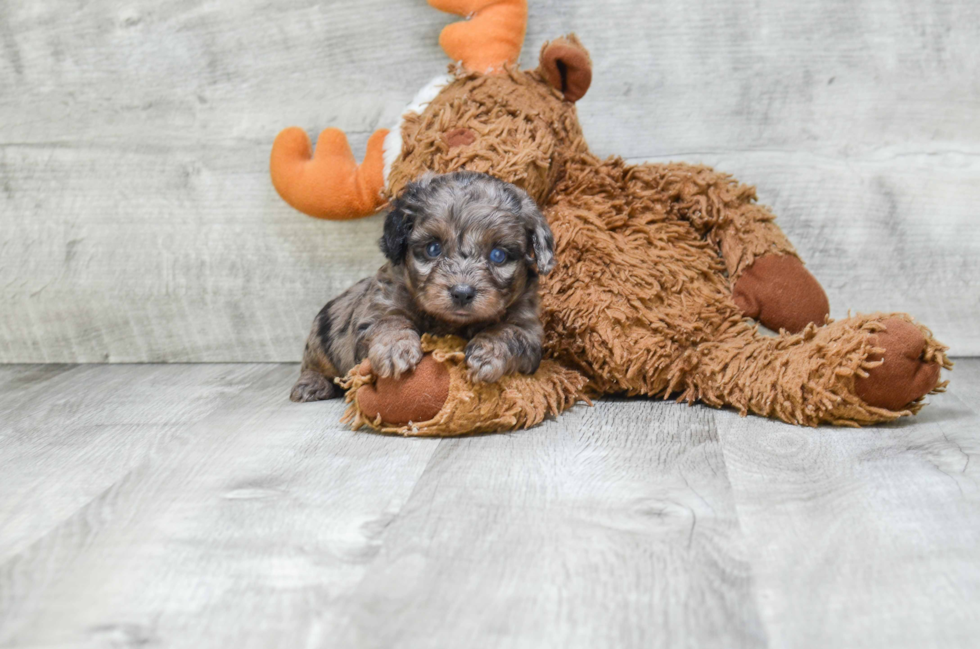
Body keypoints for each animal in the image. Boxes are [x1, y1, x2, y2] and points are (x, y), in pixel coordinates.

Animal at [288, 168, 556, 400]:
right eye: (433, 248)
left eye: (498, 255)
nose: (462, 293)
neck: (451, 323)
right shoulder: (377, 308)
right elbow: (389, 321)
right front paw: (395, 348)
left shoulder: (529, 330)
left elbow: (510, 333)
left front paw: (488, 352)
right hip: (319, 341)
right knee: (313, 366)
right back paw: (311, 384)